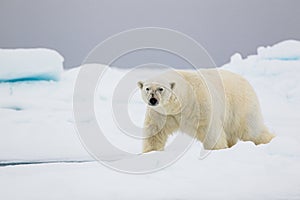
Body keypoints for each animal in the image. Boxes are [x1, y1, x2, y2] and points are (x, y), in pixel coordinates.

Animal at [138, 68, 274, 152]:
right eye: (147, 88)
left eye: (161, 89)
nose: (153, 100)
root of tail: (246, 81)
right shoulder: (162, 113)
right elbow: (155, 131)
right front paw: (151, 152)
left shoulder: (199, 104)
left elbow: (210, 129)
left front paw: (216, 149)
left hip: (241, 106)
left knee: (252, 130)